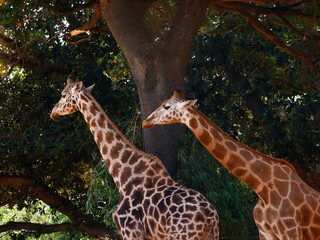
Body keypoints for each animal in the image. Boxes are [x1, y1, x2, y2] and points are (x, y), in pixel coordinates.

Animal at [50, 77, 220, 240]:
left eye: (63, 95)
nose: (53, 111)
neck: (123, 175)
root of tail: (211, 218)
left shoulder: (130, 230)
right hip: (210, 236)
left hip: (181, 236)